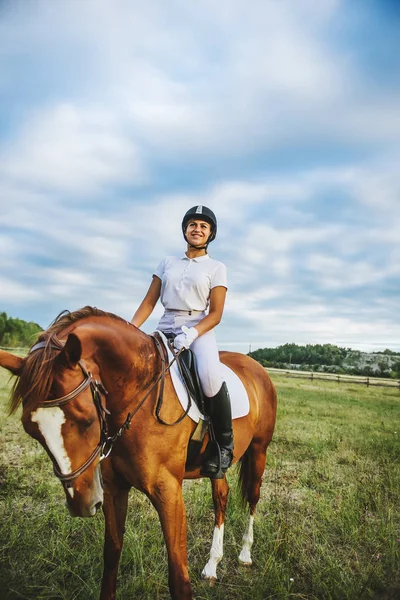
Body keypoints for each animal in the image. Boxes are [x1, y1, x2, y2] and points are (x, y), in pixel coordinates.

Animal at [1, 308, 276, 596]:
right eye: (31, 429)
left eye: (86, 420)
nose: (82, 504)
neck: (137, 396)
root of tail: (256, 367)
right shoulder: (113, 488)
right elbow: (111, 556)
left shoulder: (169, 491)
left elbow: (178, 576)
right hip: (217, 467)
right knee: (221, 497)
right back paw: (212, 565)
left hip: (259, 450)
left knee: (253, 497)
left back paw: (245, 554)